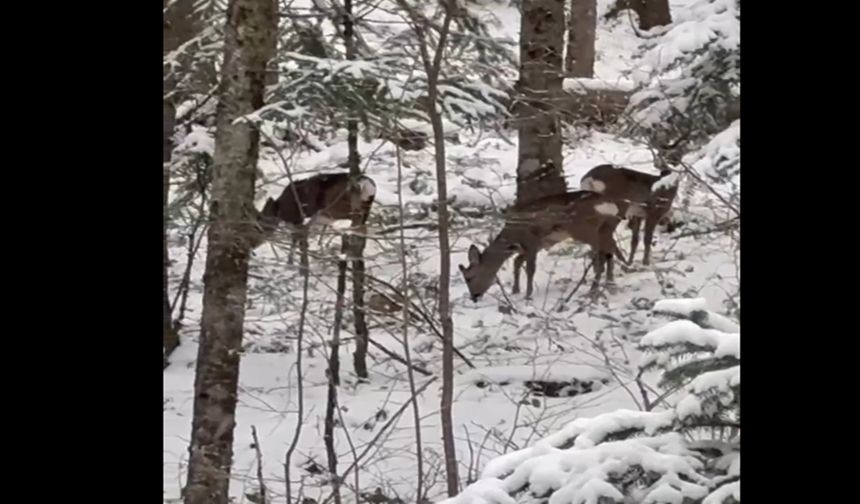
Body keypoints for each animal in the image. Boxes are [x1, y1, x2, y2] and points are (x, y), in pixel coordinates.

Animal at [456, 190, 632, 302]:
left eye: (469, 277)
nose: (474, 297)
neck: (512, 234)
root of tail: (608, 203)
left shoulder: (532, 242)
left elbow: (530, 269)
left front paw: (528, 295)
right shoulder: (536, 245)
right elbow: (517, 262)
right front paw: (515, 291)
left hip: (582, 229)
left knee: (600, 254)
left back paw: (594, 289)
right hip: (606, 228)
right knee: (609, 250)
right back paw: (610, 284)